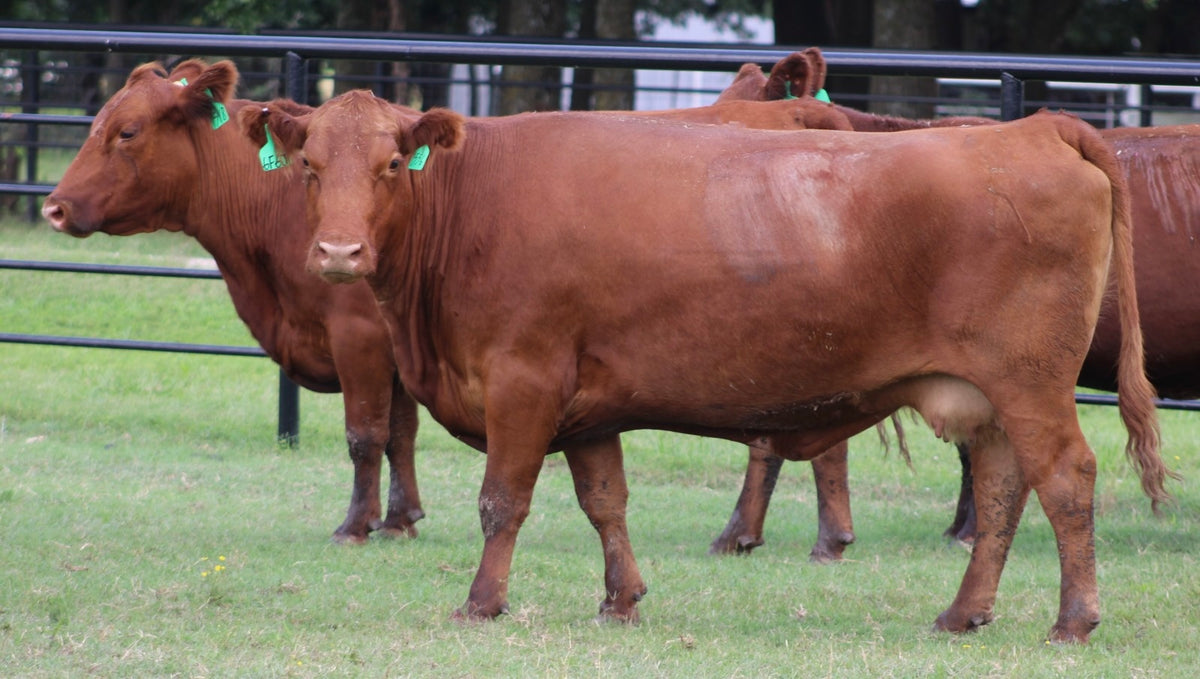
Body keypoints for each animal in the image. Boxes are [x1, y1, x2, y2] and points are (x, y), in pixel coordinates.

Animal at [37, 57, 862, 559]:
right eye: (95, 123)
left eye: (125, 131)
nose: (52, 206)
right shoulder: (401, 341)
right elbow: (401, 433)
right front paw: (402, 517)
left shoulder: (359, 334)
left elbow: (365, 434)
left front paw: (357, 523)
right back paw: (765, 533)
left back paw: (803, 536)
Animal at [246, 90, 1171, 642]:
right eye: (309, 167)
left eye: (388, 166)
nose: (338, 253)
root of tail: (1031, 128)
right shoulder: (587, 403)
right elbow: (605, 501)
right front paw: (621, 598)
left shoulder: (523, 381)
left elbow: (502, 501)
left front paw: (482, 601)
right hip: (988, 395)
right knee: (1005, 490)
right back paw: (963, 611)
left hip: (1032, 383)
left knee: (1066, 480)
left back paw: (1074, 619)